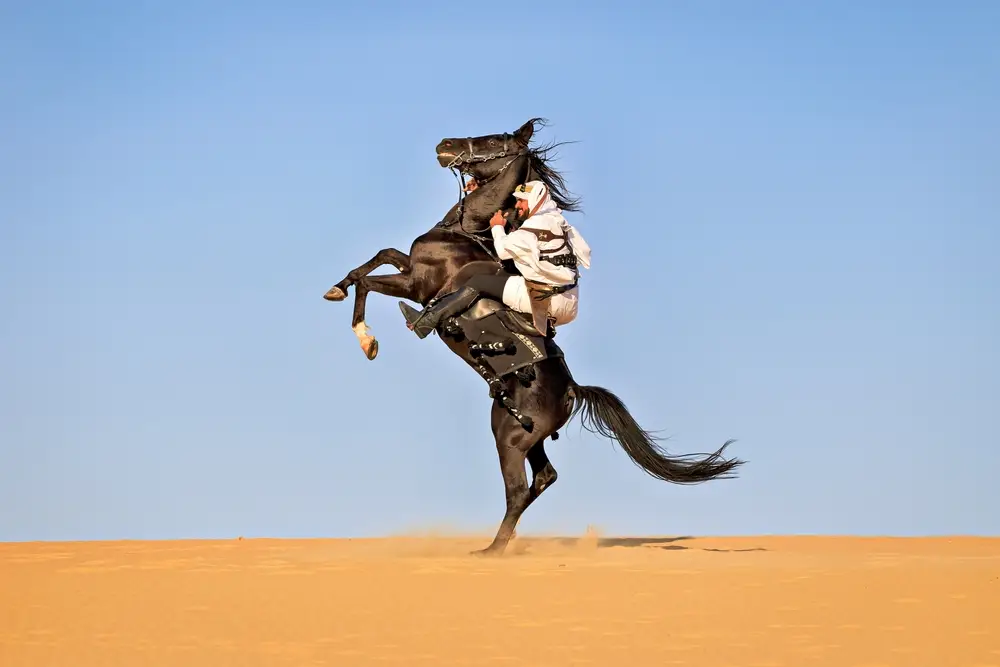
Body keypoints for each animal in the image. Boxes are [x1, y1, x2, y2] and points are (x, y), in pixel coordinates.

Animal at [323, 118, 744, 556]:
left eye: (494, 140)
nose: (445, 144)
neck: (465, 233)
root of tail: (573, 389)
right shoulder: (410, 268)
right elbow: (378, 257)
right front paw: (336, 289)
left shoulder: (418, 285)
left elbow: (370, 282)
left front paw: (367, 339)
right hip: (525, 435)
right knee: (544, 478)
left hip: (508, 441)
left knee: (519, 491)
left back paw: (491, 551)